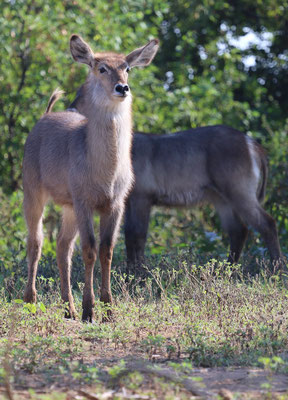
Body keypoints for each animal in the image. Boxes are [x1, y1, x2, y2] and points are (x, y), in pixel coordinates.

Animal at [23, 34, 160, 322]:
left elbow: (106, 251)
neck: (105, 170)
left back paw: (69, 308)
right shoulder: (84, 202)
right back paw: (31, 300)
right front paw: (89, 309)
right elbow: (89, 250)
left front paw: (108, 310)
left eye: (127, 68)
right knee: (36, 242)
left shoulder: (115, 204)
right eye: (101, 68)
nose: (122, 88)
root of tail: (45, 116)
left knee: (62, 246)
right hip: (34, 193)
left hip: (68, 207)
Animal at [66, 83, 284, 270]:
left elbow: (138, 235)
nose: (70, 110)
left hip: (239, 190)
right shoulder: (127, 200)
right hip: (221, 198)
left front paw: (139, 274)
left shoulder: (142, 197)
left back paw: (276, 269)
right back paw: (227, 269)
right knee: (239, 230)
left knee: (267, 223)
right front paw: (131, 271)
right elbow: (128, 235)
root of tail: (253, 144)